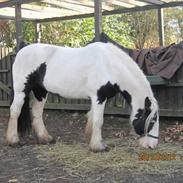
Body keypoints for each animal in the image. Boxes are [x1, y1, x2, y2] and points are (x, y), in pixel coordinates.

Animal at [6, 41, 159, 152]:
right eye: (152, 120)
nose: (152, 145)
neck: (110, 65)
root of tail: (20, 53)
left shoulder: (96, 98)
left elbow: (92, 118)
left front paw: (90, 140)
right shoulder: (99, 97)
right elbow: (98, 120)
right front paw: (99, 147)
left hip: (40, 91)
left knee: (37, 113)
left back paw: (46, 139)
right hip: (22, 89)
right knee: (15, 111)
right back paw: (13, 140)